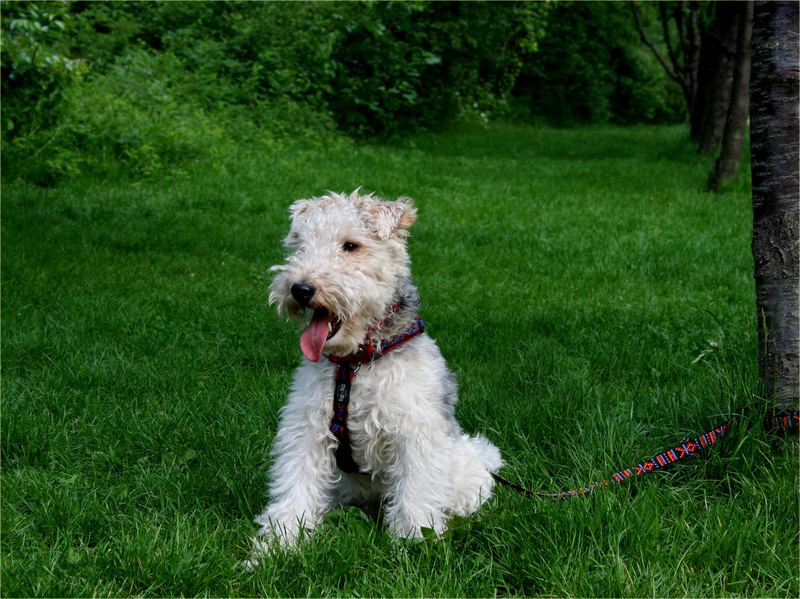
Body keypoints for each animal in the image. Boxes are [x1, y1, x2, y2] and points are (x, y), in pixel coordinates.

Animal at [247, 192, 504, 568]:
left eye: (351, 245)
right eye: (301, 244)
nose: (301, 289)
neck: (355, 364)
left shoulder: (414, 432)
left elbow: (415, 496)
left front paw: (413, 546)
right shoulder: (306, 429)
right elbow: (295, 489)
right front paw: (275, 548)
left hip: (464, 465)